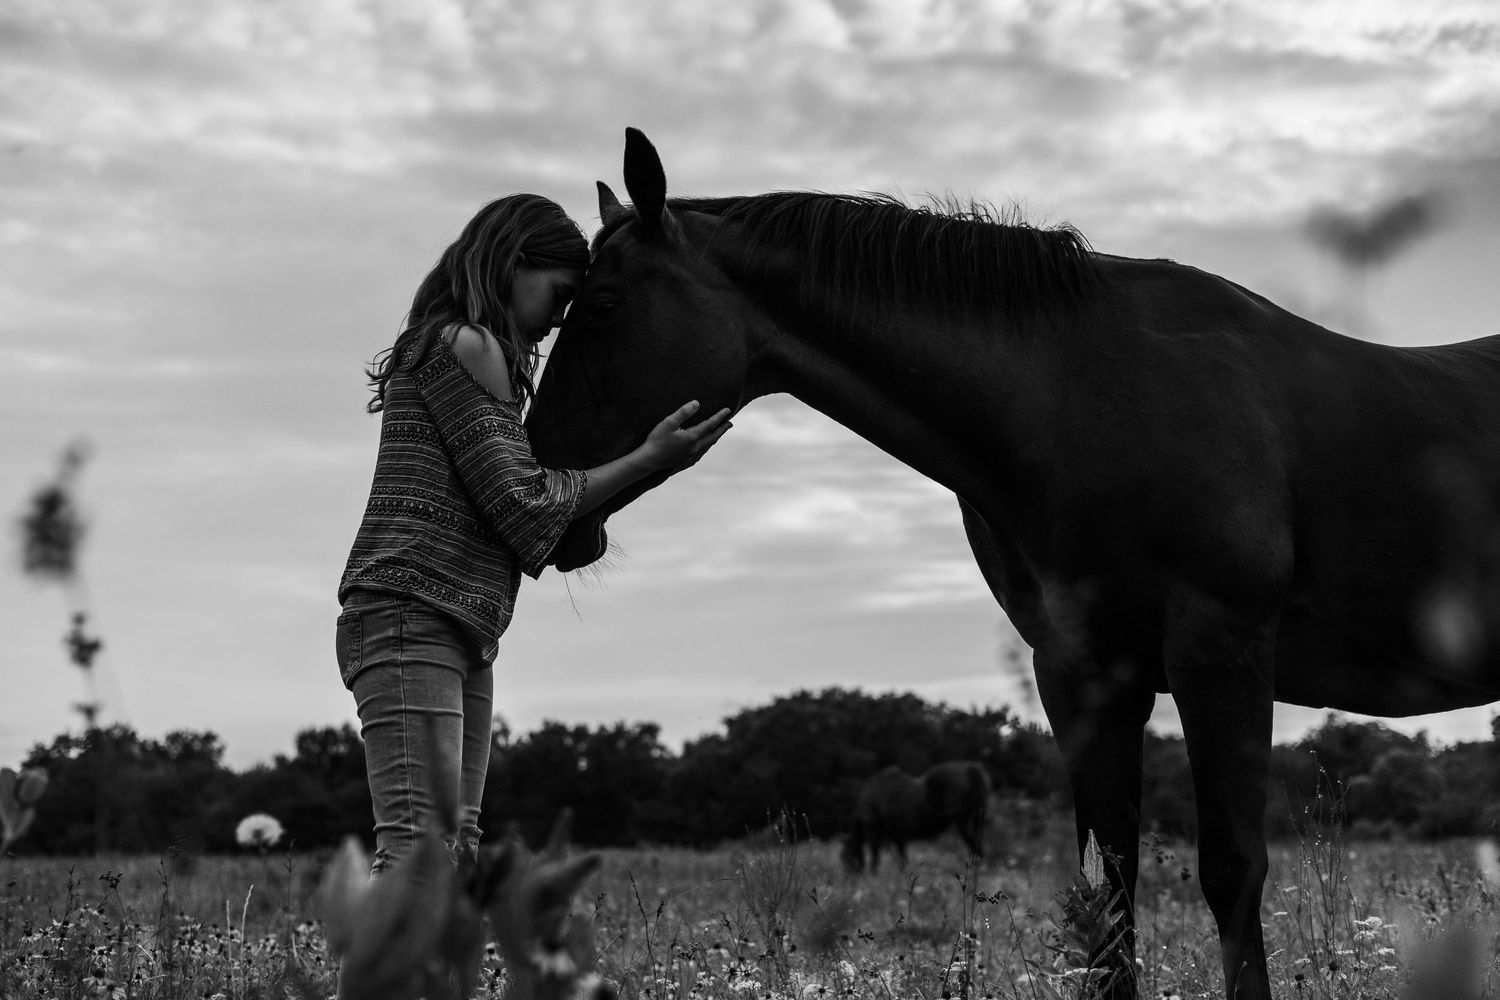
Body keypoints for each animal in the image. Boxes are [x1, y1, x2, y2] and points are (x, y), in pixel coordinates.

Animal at [841, 761, 991, 873]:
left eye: (844, 857)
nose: (848, 877)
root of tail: (973, 770)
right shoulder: (898, 834)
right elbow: (902, 856)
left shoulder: (873, 830)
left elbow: (875, 855)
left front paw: (873, 874)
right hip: (978, 818)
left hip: (962, 821)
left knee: (974, 846)